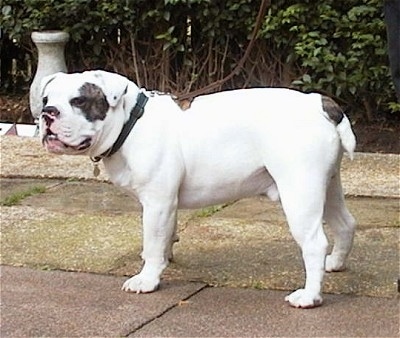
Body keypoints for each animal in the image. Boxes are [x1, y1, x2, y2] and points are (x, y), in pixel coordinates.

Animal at [38, 70, 356, 308]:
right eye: (45, 99)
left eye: (79, 100)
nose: (47, 113)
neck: (131, 123)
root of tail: (320, 104)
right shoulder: (166, 204)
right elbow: (165, 237)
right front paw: (163, 261)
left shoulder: (157, 203)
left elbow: (152, 242)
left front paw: (147, 279)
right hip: (327, 186)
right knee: (345, 224)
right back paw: (334, 263)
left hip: (299, 192)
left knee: (314, 243)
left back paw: (309, 296)